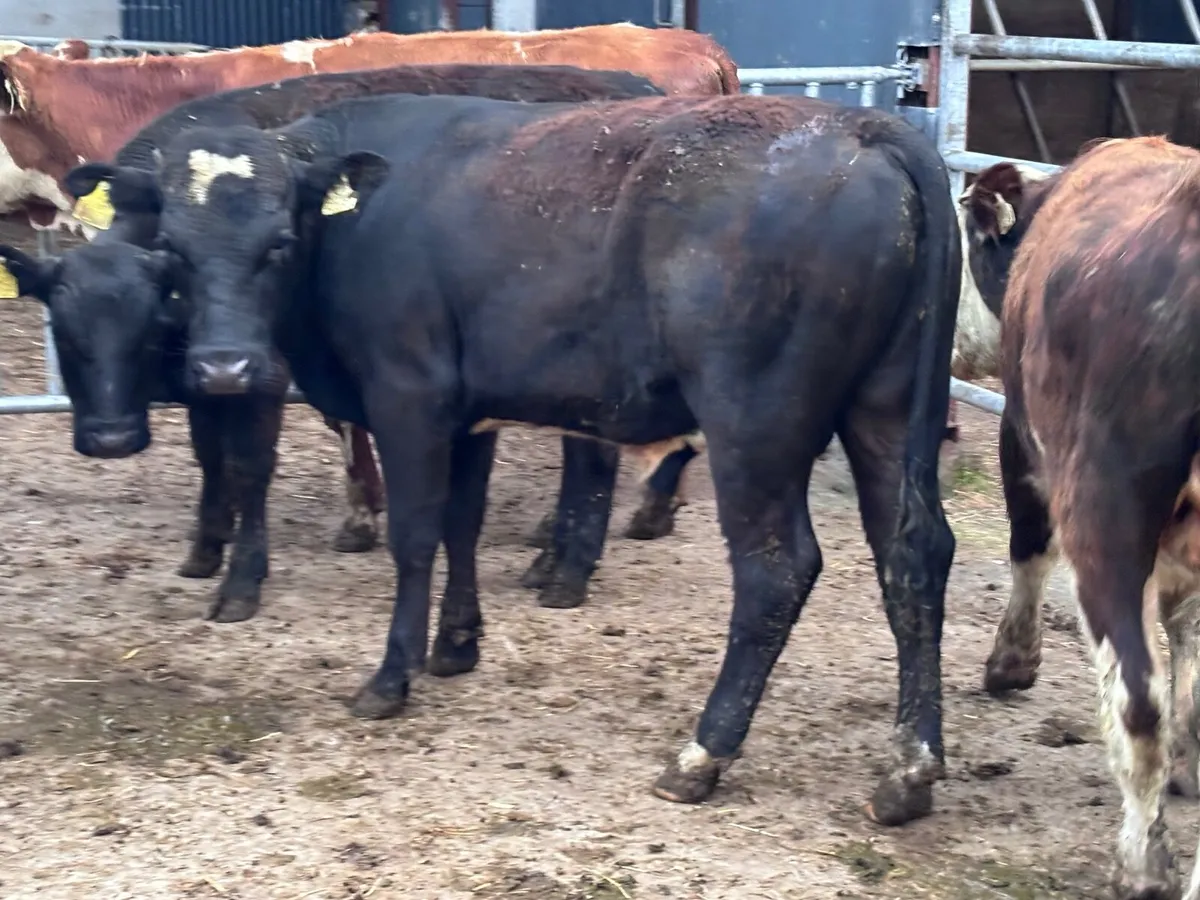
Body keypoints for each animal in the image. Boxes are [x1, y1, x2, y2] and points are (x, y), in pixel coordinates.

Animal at [103, 90, 959, 822]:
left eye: (278, 242)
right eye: (172, 250)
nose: (225, 369)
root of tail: (864, 127)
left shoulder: (408, 395)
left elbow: (415, 536)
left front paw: (391, 676)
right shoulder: (467, 412)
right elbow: (461, 524)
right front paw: (457, 645)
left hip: (755, 423)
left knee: (775, 572)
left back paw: (701, 754)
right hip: (882, 413)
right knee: (913, 557)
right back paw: (908, 770)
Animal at [962, 136, 1200, 900]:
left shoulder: (1019, 437)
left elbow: (1029, 549)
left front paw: (1012, 662)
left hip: (1104, 517)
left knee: (1136, 701)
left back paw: (1142, 862)